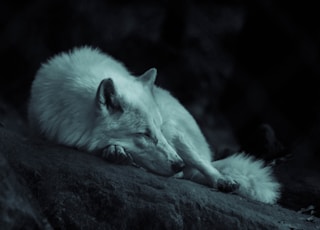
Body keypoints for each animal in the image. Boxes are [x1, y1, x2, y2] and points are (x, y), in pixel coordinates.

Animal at [29, 46, 280, 203]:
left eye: (156, 131)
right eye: (145, 134)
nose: (177, 164)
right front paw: (115, 151)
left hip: (177, 133)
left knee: (204, 165)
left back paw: (222, 180)